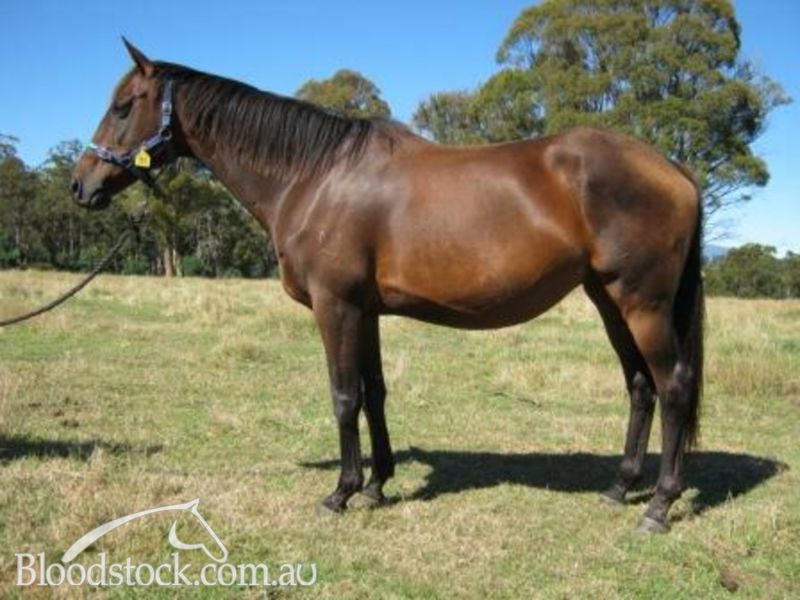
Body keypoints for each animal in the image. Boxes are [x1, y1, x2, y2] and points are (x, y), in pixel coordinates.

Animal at [71, 40, 704, 534]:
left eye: (123, 106)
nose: (81, 185)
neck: (316, 176)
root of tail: (673, 167)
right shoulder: (366, 311)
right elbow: (374, 393)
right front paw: (378, 485)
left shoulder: (336, 307)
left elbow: (343, 396)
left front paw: (341, 492)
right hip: (608, 300)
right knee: (641, 387)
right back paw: (621, 488)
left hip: (641, 303)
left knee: (672, 385)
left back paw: (660, 506)